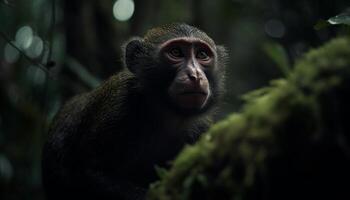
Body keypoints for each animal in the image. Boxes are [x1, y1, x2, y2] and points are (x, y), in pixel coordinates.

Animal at [41, 23, 227, 200]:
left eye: (202, 55)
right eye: (176, 52)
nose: (195, 75)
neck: (164, 113)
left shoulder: (203, 130)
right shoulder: (118, 105)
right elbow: (85, 172)